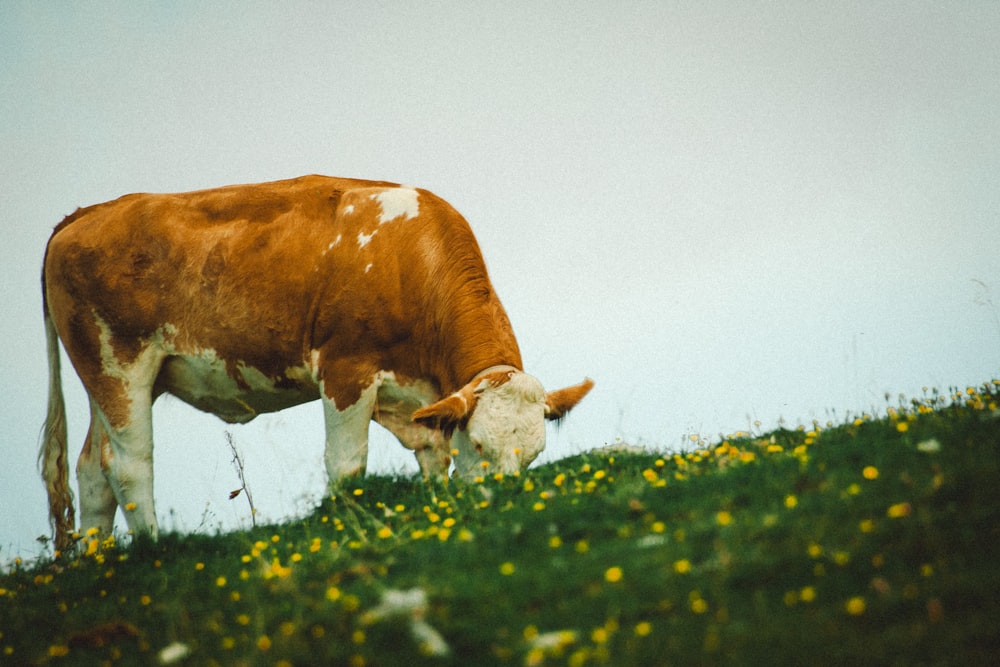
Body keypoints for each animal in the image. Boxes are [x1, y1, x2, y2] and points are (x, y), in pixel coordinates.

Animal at [41, 175, 592, 552]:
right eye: (480, 443)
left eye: (536, 452)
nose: (501, 504)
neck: (409, 262)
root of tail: (87, 213)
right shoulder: (346, 370)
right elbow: (347, 465)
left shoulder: (422, 396)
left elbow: (434, 453)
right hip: (119, 365)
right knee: (129, 464)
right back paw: (154, 549)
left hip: (117, 379)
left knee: (92, 469)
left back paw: (100, 562)